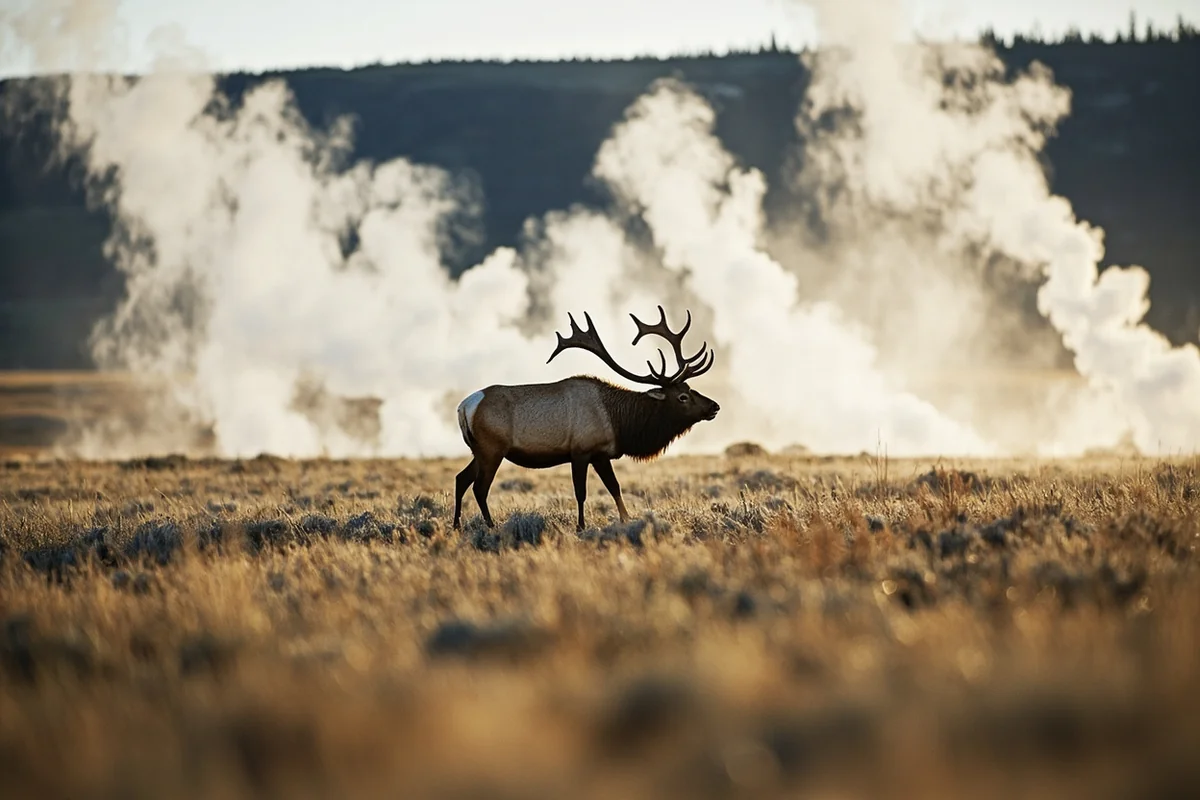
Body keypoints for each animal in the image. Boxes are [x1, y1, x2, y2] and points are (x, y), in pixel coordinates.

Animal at [452, 306, 720, 531]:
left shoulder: (600, 454)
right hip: (492, 449)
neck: (620, 423)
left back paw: (456, 525)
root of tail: (464, 407)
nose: (714, 406)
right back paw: (491, 526)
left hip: (479, 451)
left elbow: (614, 487)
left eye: (690, 388)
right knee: (479, 487)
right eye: (683, 396)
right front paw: (581, 526)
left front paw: (626, 519)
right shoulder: (581, 450)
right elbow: (581, 492)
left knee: (461, 478)